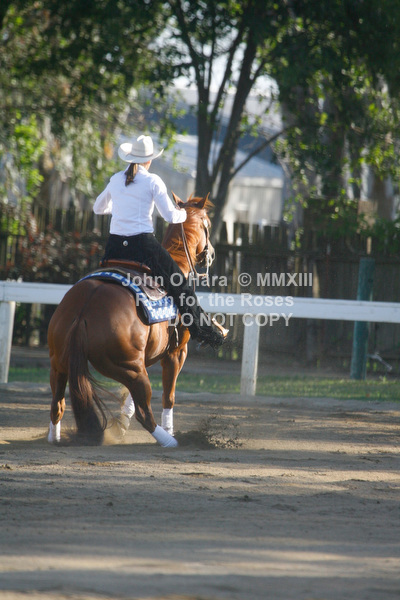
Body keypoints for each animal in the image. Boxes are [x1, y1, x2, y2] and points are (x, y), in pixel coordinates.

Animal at [46, 194, 217, 447]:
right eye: (208, 224)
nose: (211, 254)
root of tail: (83, 311)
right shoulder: (176, 353)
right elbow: (168, 396)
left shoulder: (146, 356)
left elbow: (129, 400)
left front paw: (121, 426)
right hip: (130, 368)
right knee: (145, 412)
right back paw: (169, 441)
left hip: (61, 364)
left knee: (57, 405)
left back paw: (54, 438)